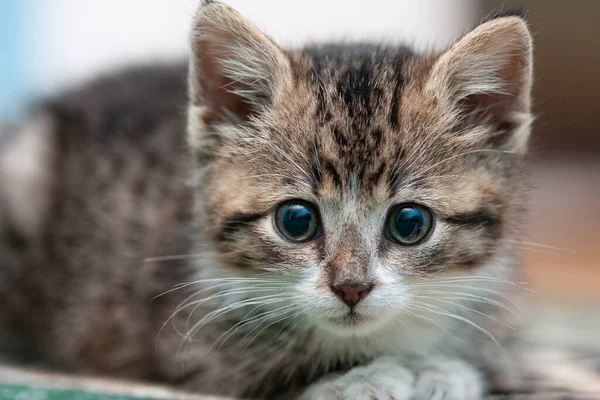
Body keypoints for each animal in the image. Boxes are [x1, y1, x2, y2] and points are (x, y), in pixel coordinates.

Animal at [0, 1, 536, 398]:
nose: (351, 288)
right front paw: (364, 376)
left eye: (409, 223)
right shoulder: (186, 344)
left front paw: (447, 368)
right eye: (296, 220)